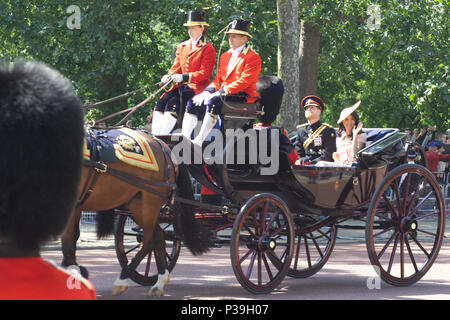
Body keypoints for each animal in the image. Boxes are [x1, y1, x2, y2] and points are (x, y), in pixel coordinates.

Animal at [59, 128, 211, 298]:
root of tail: (162, 144)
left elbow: (68, 242)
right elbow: (71, 240)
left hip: (149, 204)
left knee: (149, 240)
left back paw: (123, 279)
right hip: (137, 205)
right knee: (158, 236)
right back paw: (159, 282)